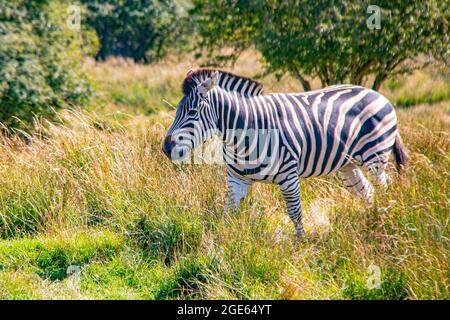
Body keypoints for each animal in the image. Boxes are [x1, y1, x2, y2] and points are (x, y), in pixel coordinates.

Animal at [162, 68, 408, 238]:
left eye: (192, 112)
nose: (165, 148)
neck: (244, 135)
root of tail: (377, 93)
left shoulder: (288, 176)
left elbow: (295, 213)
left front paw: (301, 245)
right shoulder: (237, 179)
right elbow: (227, 213)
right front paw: (221, 245)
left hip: (375, 156)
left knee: (385, 185)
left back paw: (385, 217)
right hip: (347, 166)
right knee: (367, 192)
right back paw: (370, 220)